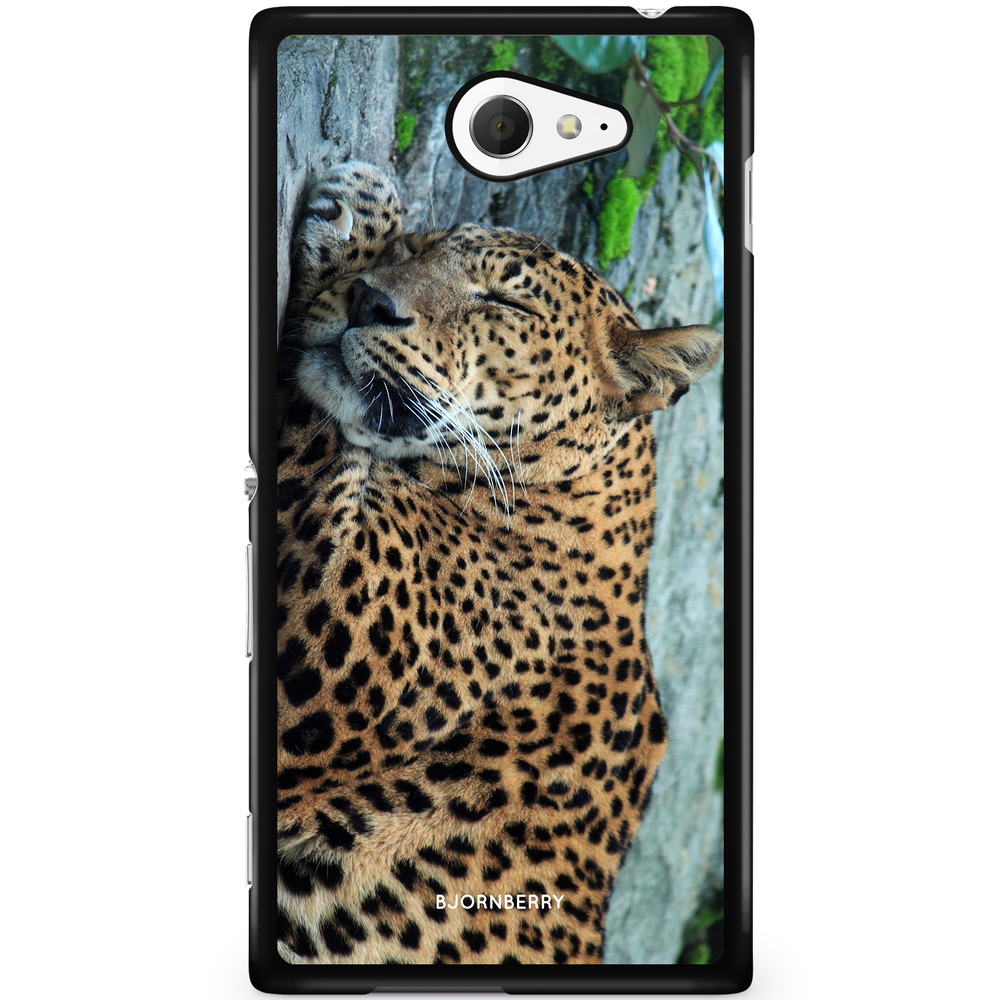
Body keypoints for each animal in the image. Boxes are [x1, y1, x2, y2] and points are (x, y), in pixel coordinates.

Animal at [275, 162, 722, 966]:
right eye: (425, 247)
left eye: (503, 301)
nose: (369, 300)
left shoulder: (333, 622)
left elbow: (319, 425)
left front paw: (358, 211)